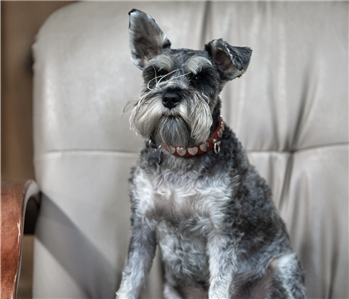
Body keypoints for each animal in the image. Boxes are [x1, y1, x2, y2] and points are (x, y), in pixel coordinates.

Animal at [115, 9, 304, 299]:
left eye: (199, 77)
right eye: (156, 74)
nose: (170, 96)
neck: (182, 153)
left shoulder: (221, 230)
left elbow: (219, 284)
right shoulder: (142, 225)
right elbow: (130, 280)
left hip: (284, 268)